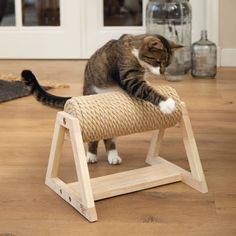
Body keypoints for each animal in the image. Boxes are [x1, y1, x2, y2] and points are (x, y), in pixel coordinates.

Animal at [20, 33, 183, 164]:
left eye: (167, 64)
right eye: (158, 62)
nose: (162, 72)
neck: (133, 50)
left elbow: (146, 84)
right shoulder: (128, 77)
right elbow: (145, 89)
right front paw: (167, 103)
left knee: (110, 137)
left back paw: (113, 155)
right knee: (97, 137)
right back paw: (91, 155)